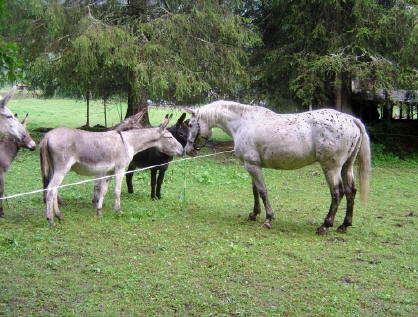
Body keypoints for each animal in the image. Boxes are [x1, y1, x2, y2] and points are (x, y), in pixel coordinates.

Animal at [185, 100, 370, 233]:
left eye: (190, 124)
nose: (188, 150)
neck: (244, 122)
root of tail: (351, 119)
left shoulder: (252, 166)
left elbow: (262, 191)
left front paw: (268, 218)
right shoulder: (252, 166)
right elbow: (255, 191)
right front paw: (254, 214)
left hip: (331, 168)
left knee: (337, 193)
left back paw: (325, 225)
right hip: (346, 166)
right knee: (351, 191)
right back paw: (344, 225)